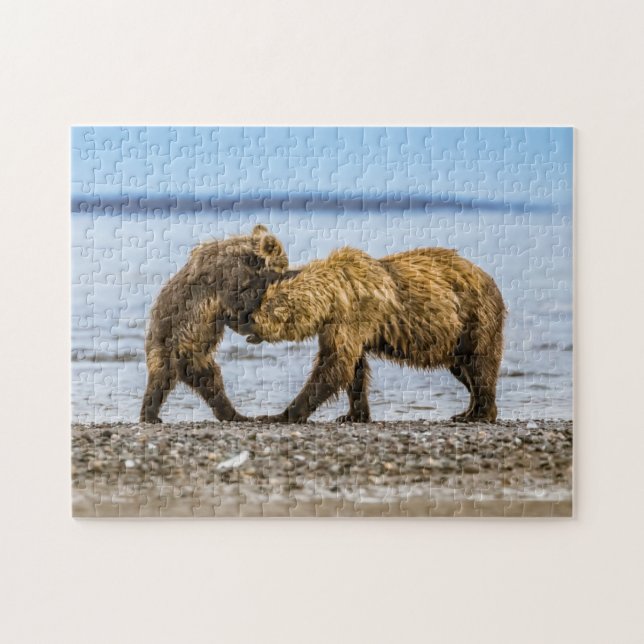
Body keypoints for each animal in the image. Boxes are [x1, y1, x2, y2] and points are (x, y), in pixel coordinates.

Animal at [140, 224, 290, 424]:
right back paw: (150, 415)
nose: (288, 271)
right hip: (168, 347)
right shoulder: (228, 276)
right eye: (285, 263)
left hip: (199, 359)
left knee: (211, 384)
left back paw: (235, 415)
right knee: (161, 381)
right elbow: (240, 303)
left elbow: (234, 316)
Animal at [239, 244, 506, 424]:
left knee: (480, 365)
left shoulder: (353, 316)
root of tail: (490, 279)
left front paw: (280, 414)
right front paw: (353, 414)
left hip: (474, 319)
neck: (331, 299)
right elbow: (353, 368)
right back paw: (467, 411)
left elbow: (334, 366)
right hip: (454, 338)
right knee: (463, 369)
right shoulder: (337, 326)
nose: (247, 319)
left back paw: (480, 414)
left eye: (262, 307)